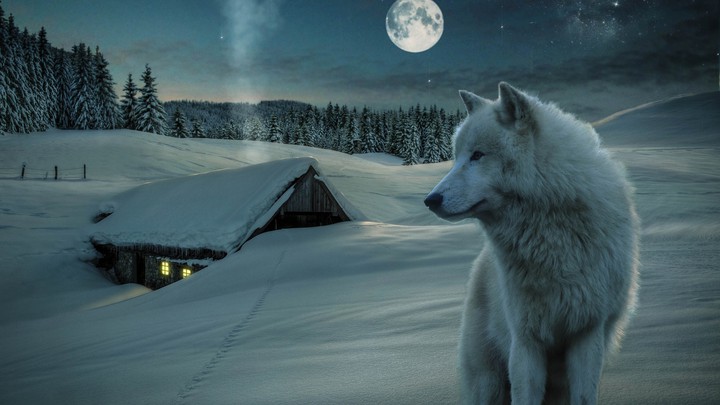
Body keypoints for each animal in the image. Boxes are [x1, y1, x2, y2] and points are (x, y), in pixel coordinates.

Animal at [424, 82, 639, 404]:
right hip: (488, 381)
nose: (430, 200)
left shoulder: (587, 332)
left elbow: (585, 396)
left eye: (478, 155)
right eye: (457, 156)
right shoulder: (525, 340)